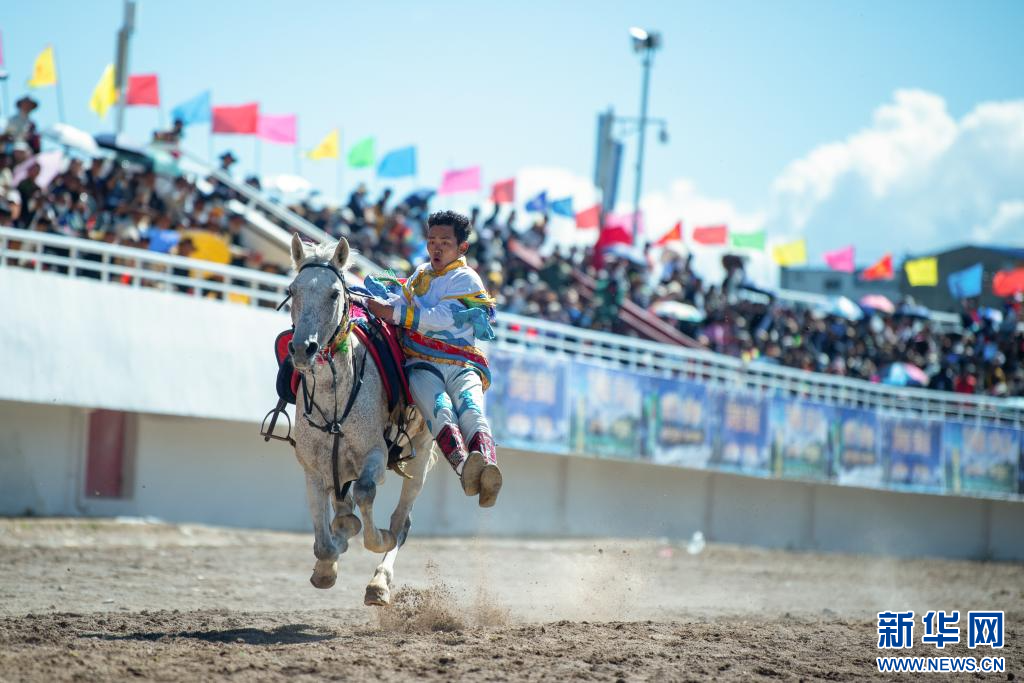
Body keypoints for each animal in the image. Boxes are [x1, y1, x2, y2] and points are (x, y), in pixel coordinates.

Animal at [286, 233, 434, 602]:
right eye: (292, 290)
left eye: (334, 293)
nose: (303, 348)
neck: (334, 394)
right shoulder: (313, 467)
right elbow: (324, 541)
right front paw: (326, 567)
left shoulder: (375, 454)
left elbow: (367, 495)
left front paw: (375, 539)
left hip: (421, 454)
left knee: (401, 522)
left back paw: (379, 582)